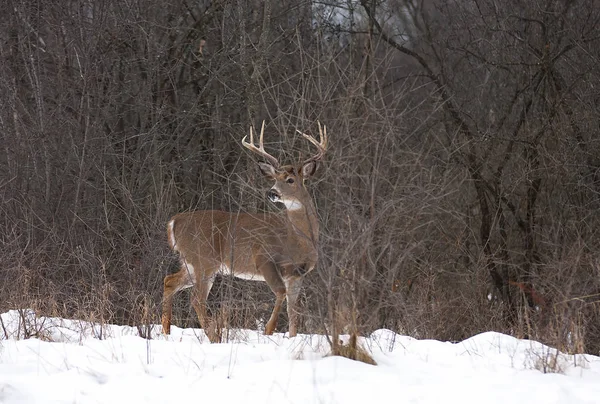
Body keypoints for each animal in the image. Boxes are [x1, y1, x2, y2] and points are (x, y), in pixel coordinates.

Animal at [161, 120, 328, 340]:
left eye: (290, 180)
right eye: (274, 178)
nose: (272, 192)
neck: (298, 239)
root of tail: (175, 221)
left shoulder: (297, 274)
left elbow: (294, 314)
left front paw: (289, 338)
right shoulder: (264, 259)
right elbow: (280, 293)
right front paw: (268, 330)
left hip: (191, 262)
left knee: (169, 281)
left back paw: (166, 331)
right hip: (204, 259)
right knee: (197, 299)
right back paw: (213, 337)